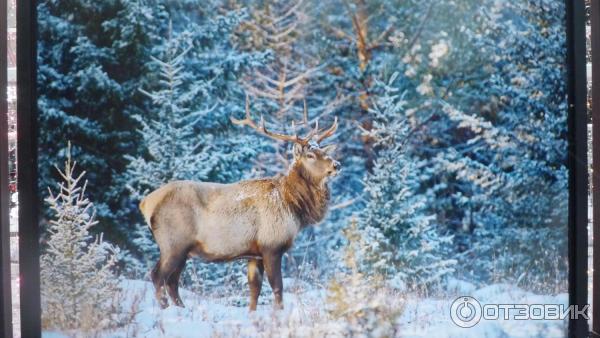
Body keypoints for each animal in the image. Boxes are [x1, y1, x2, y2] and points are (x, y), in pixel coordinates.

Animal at [138, 96, 340, 310]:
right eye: (310, 155)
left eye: (323, 151)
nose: (337, 165)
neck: (293, 206)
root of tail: (146, 203)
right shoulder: (271, 245)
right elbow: (278, 287)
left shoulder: (253, 253)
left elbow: (254, 290)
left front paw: (252, 312)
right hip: (173, 243)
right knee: (158, 276)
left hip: (181, 250)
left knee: (172, 281)